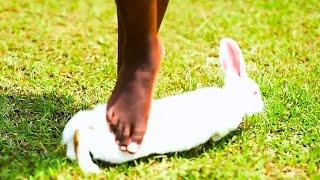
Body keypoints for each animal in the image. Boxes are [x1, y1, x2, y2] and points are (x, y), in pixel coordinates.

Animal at [62, 37, 264, 173]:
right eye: (255, 92)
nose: (262, 107)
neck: (232, 98)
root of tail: (90, 120)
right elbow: (217, 135)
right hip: (110, 149)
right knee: (82, 138)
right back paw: (90, 168)